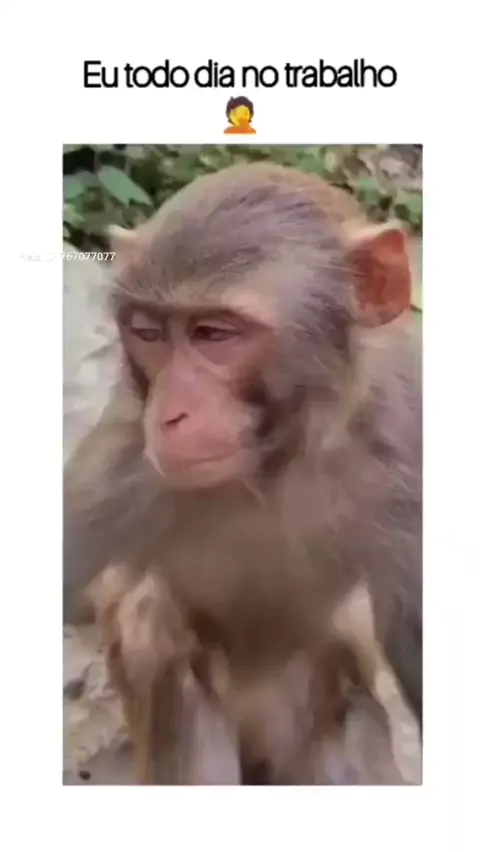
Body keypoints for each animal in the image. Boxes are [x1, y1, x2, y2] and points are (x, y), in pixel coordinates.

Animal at [63, 161, 422, 781]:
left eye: (215, 334)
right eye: (148, 332)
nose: (170, 414)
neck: (274, 460)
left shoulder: (409, 433)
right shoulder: (119, 463)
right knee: (154, 622)